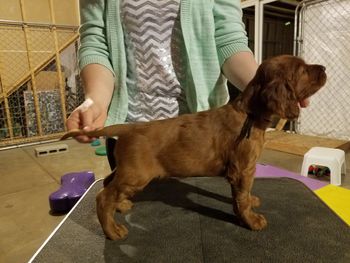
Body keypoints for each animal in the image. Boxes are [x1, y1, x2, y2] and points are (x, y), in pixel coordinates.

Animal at [61, 55, 326, 241]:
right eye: (302, 70)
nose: (324, 68)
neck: (249, 114)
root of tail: (127, 128)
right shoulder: (242, 169)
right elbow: (241, 198)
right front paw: (251, 220)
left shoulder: (243, 171)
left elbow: (243, 195)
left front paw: (251, 204)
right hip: (135, 175)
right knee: (103, 196)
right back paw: (113, 231)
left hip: (126, 171)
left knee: (108, 184)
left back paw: (122, 205)